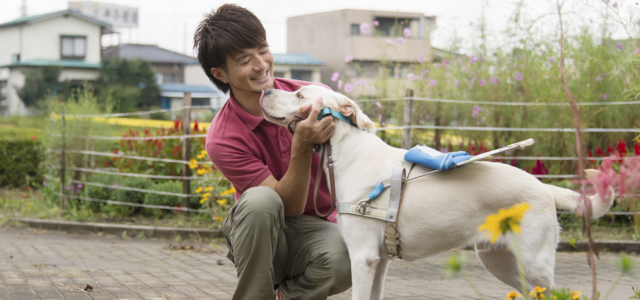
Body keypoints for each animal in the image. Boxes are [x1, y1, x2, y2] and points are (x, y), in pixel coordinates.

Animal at [260, 85, 616, 300]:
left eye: (299, 93)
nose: (265, 90)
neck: (350, 151)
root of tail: (545, 188)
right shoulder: (380, 261)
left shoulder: (362, 258)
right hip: (502, 262)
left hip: (534, 264)